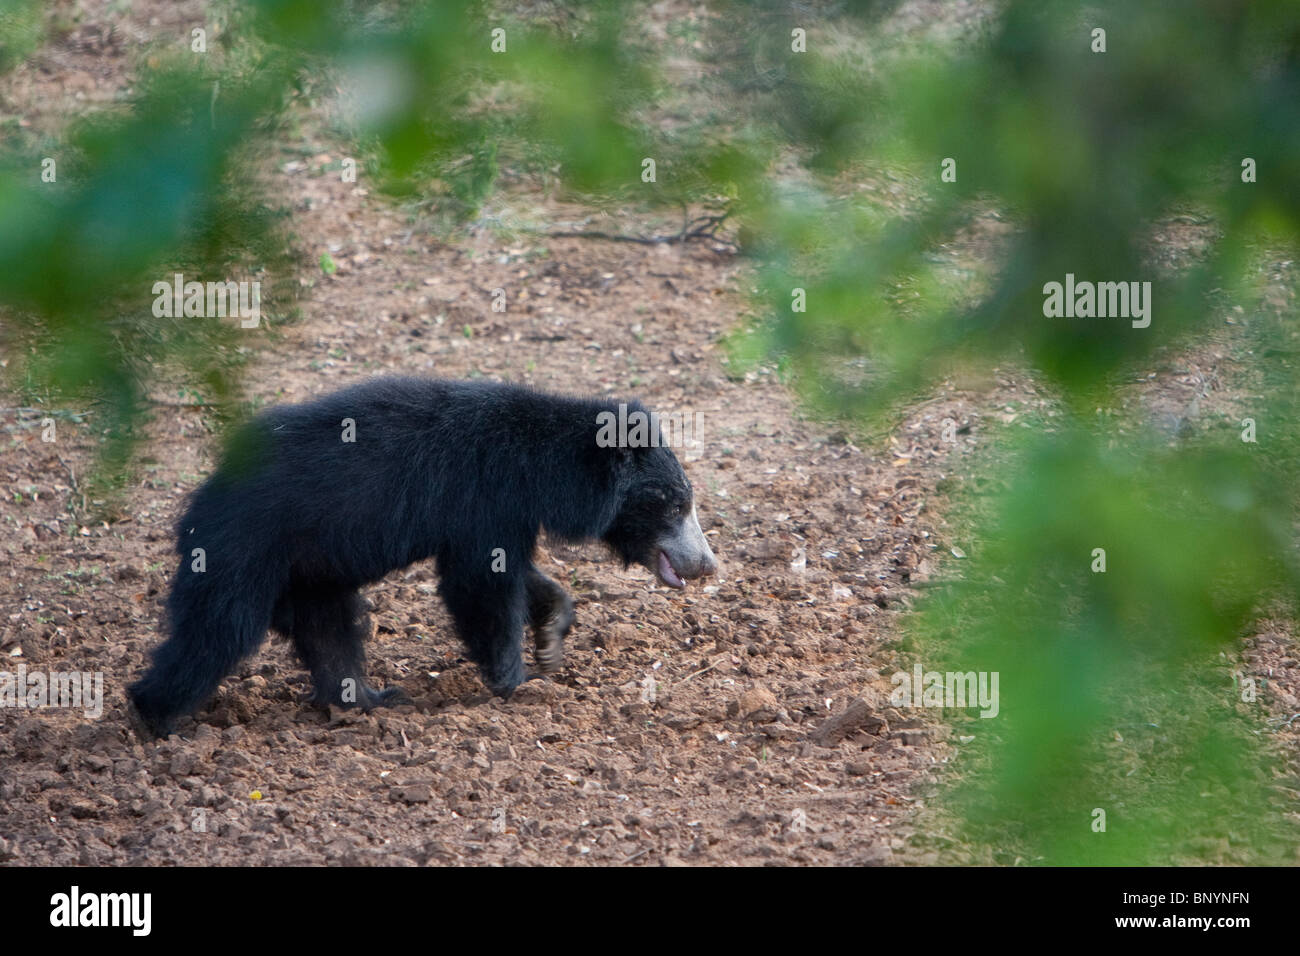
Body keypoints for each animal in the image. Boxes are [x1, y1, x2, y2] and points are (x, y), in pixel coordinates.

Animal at [126, 377, 717, 738]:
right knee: (218, 628)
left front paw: (551, 636)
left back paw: (368, 699)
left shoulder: (504, 514)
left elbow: (513, 573)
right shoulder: (483, 496)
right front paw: (517, 683)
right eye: (676, 505)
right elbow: (478, 586)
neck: (540, 466)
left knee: (330, 629)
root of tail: (200, 500)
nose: (708, 564)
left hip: (308, 569)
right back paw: (155, 715)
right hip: (242, 549)